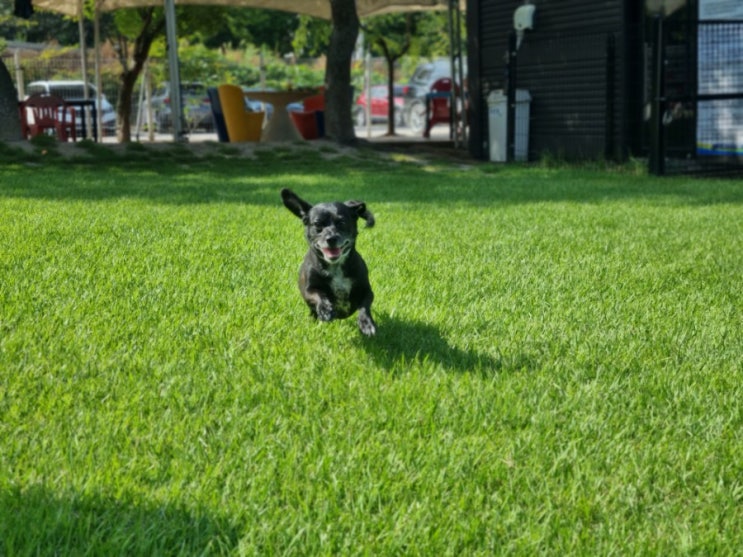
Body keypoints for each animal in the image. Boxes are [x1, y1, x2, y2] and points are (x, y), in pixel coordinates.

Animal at [284, 187, 380, 336]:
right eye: (317, 225)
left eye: (342, 223)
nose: (331, 238)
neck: (335, 267)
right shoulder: (308, 290)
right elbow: (318, 294)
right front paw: (325, 308)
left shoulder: (366, 291)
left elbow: (364, 306)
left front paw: (366, 323)